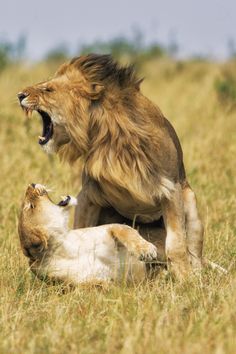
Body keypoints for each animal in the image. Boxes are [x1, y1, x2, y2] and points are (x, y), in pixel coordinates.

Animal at [18, 54, 203, 278]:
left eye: (48, 89)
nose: (19, 95)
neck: (113, 140)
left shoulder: (172, 190)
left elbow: (176, 245)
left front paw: (186, 280)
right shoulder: (88, 196)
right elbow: (81, 229)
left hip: (191, 203)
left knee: (195, 253)